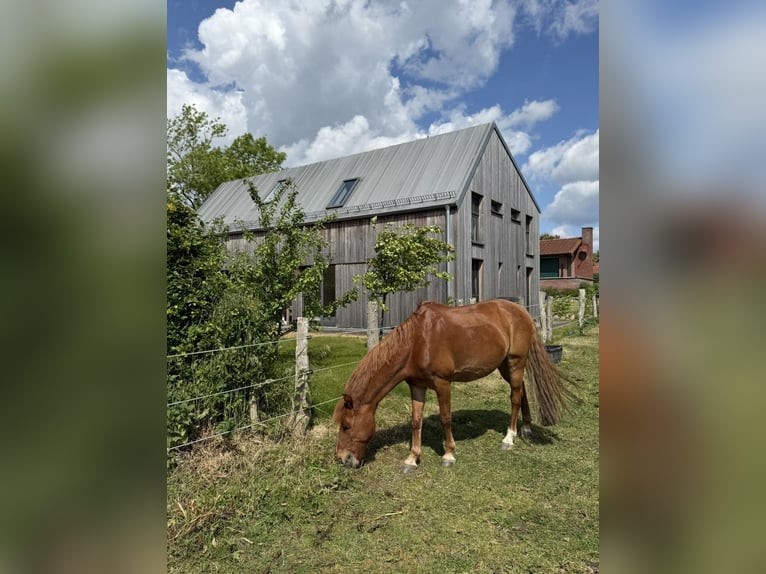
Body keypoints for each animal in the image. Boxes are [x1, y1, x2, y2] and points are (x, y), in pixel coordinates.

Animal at [333, 299, 574, 472]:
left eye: (346, 426)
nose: (342, 459)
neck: (417, 341)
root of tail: (520, 311)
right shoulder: (416, 385)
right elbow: (416, 421)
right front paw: (412, 459)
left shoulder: (443, 383)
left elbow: (445, 418)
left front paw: (449, 455)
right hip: (505, 366)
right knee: (521, 390)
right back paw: (525, 428)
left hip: (516, 362)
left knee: (515, 397)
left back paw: (509, 438)